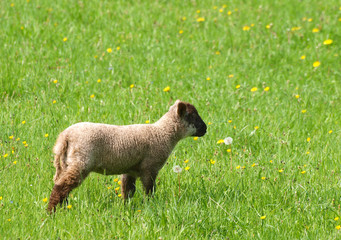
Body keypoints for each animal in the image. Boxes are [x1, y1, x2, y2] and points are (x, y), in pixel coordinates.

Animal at [47, 99, 206, 212]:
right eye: (192, 116)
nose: (205, 128)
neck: (162, 133)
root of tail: (65, 136)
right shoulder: (149, 168)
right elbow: (149, 190)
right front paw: (151, 205)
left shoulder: (131, 170)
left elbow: (128, 191)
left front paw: (126, 208)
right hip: (81, 162)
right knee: (61, 187)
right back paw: (51, 212)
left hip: (66, 163)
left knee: (63, 187)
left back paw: (64, 209)